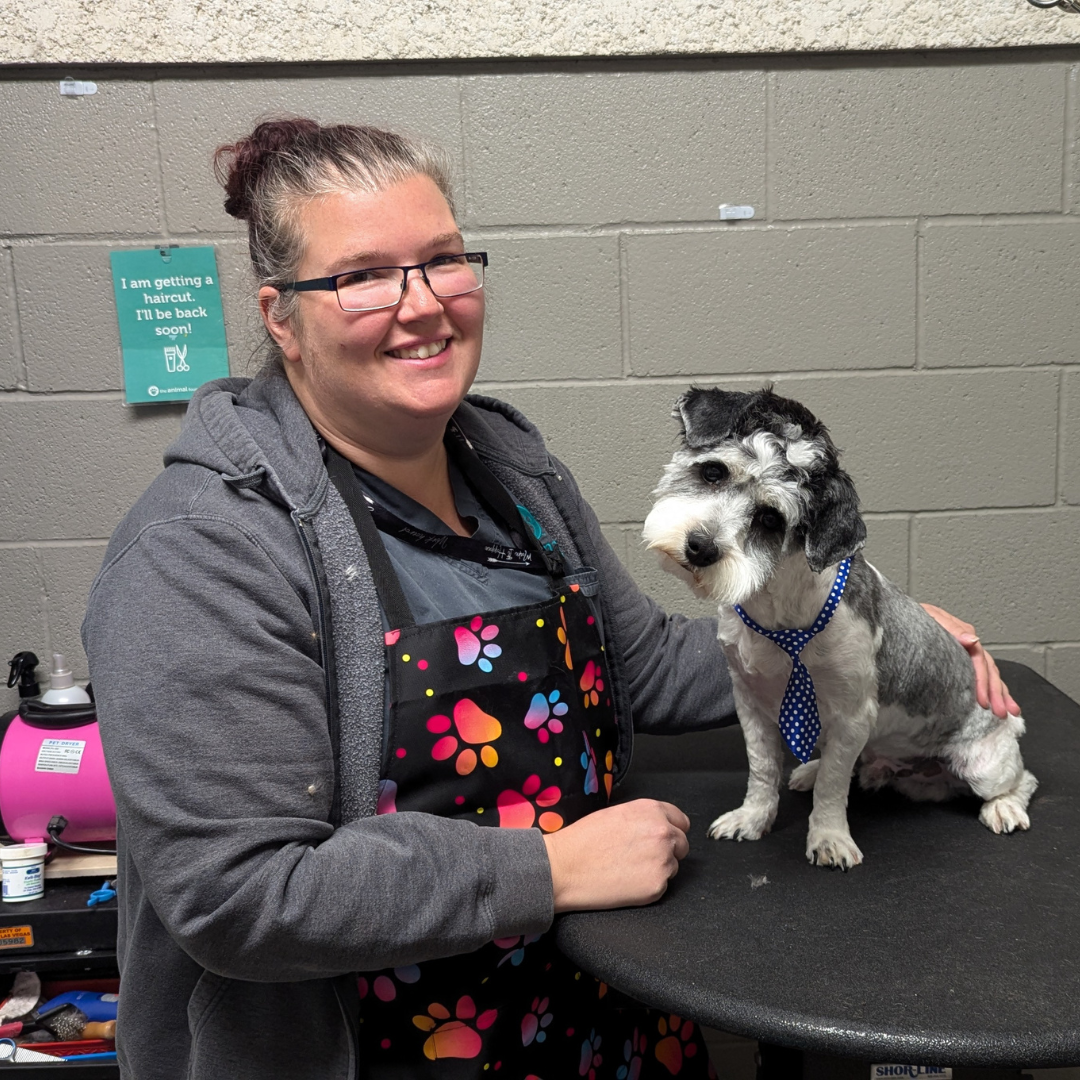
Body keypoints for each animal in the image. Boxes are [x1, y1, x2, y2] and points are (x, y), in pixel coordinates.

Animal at [639, 388, 1036, 868]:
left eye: (771, 519)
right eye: (713, 471)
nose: (700, 547)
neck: (782, 613)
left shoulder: (851, 715)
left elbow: (833, 786)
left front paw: (828, 836)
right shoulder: (750, 702)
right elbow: (763, 769)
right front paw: (753, 817)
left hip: (984, 765)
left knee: (1021, 781)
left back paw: (1004, 807)